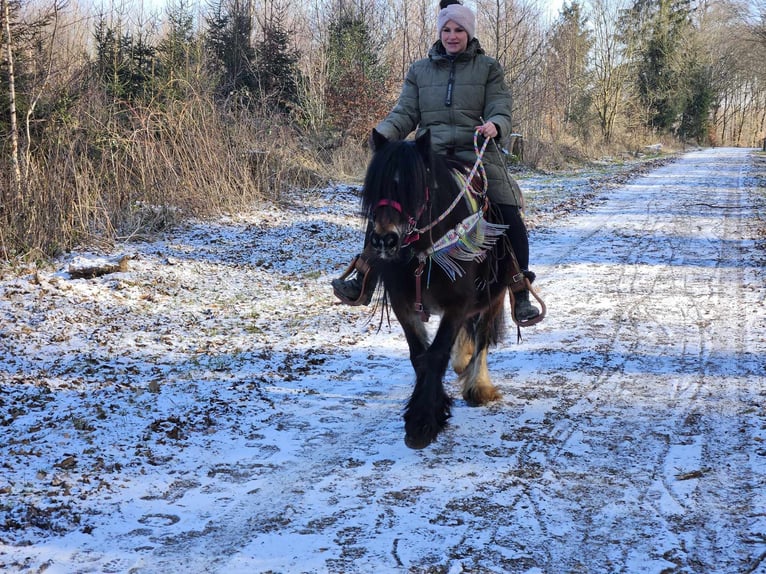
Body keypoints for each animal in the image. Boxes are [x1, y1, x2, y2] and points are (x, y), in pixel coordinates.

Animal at [362, 129, 536, 450]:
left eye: (415, 187)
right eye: (376, 186)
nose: (384, 241)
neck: (422, 251)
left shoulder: (458, 303)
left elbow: (436, 353)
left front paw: (422, 423)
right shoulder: (403, 304)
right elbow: (419, 356)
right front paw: (424, 412)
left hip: (496, 294)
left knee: (483, 336)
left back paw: (478, 386)